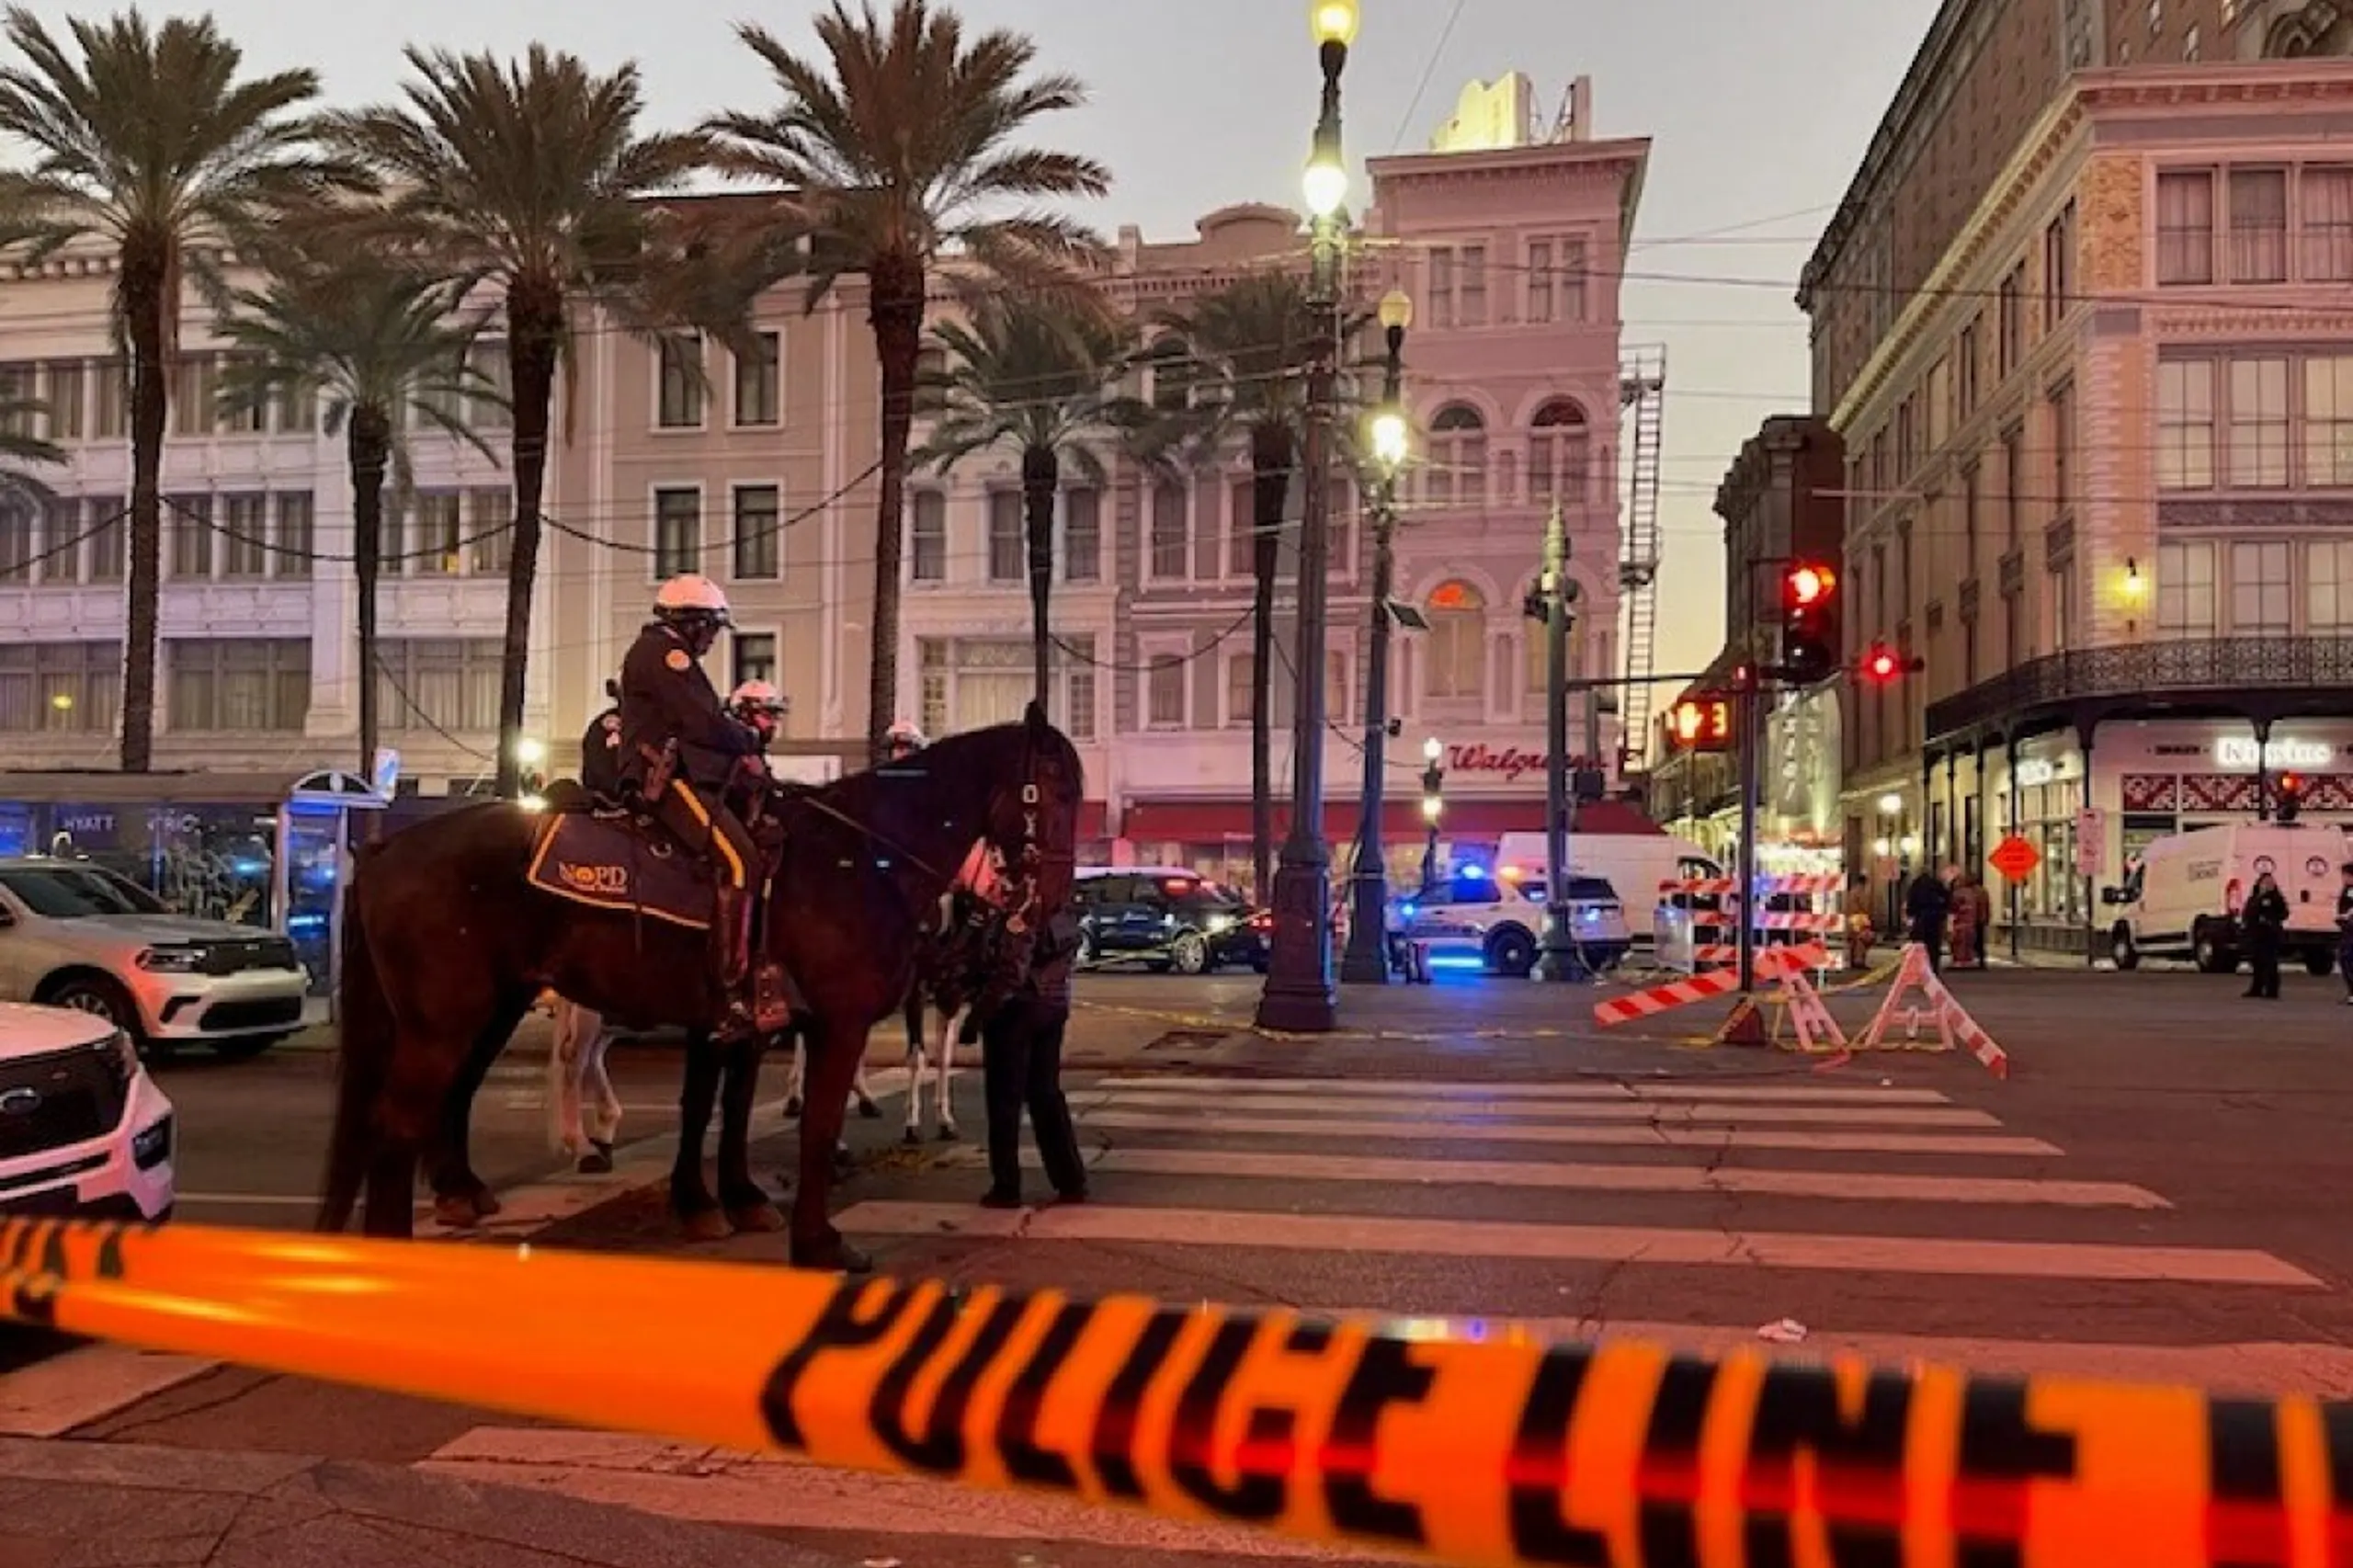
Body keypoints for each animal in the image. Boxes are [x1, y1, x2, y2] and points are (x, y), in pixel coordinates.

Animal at [315, 710, 1082, 1271]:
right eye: (1058, 791)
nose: (1051, 905)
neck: (862, 858)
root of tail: (384, 849)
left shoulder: (749, 1022)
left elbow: (727, 1109)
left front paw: (731, 1200)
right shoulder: (837, 1023)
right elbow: (811, 1124)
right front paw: (817, 1241)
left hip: (482, 1009)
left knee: (446, 1099)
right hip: (449, 1019)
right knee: (405, 1118)